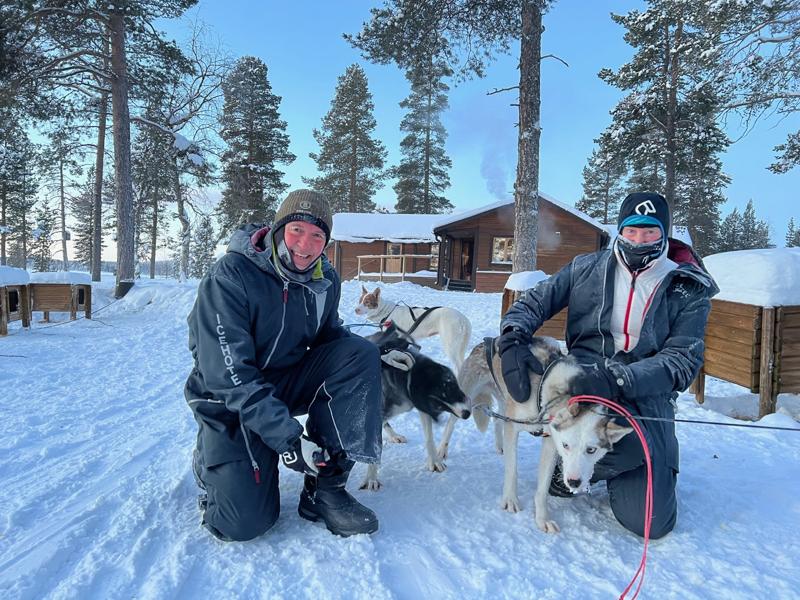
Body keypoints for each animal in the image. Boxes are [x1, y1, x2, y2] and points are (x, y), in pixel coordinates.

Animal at [360, 324, 472, 488]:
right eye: (438, 405)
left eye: (449, 386)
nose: (466, 414)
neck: (408, 377)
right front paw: (371, 477)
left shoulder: (422, 408)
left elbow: (429, 439)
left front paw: (434, 461)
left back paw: (394, 435)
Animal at [460, 338, 636, 536]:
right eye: (566, 446)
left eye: (591, 450)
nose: (574, 482)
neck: (553, 392)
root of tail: (488, 341)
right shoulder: (513, 427)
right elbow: (512, 470)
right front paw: (510, 500)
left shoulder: (550, 442)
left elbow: (543, 487)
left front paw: (541, 519)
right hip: (464, 400)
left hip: (504, 404)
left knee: (497, 420)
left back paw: (499, 446)